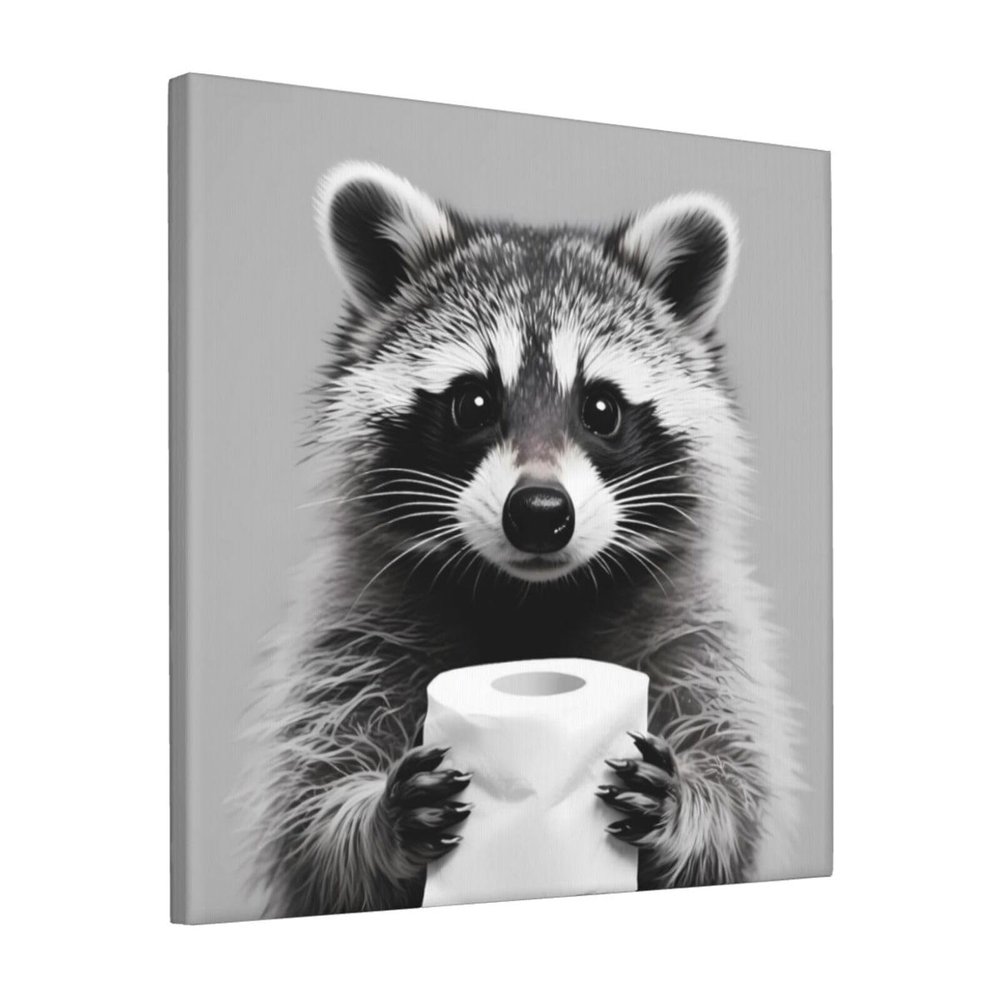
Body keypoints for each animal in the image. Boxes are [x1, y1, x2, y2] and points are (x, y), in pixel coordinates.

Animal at [250, 162, 801, 917]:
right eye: (472, 403)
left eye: (601, 408)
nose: (540, 512)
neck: (529, 597)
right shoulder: (348, 627)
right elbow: (313, 825)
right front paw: (372, 820)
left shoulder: (704, 628)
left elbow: (737, 795)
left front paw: (692, 804)